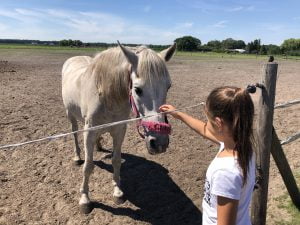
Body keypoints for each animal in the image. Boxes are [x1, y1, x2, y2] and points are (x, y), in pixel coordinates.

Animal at [61, 42, 176, 213]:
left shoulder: (119, 130)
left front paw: (117, 192)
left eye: (168, 87)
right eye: (137, 89)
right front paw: (85, 199)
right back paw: (77, 157)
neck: (107, 96)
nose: (160, 142)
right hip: (70, 114)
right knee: (75, 133)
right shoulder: (89, 132)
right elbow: (88, 166)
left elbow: (116, 160)